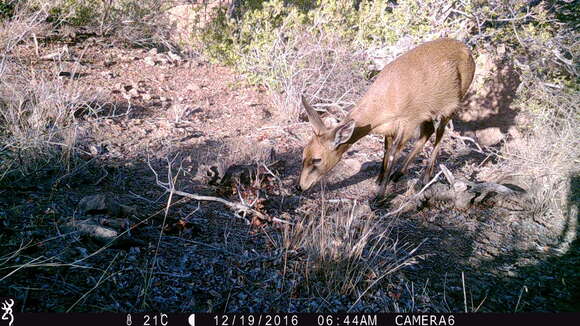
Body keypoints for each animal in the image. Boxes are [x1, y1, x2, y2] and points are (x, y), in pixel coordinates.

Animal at [300, 38, 476, 196]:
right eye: (303, 154)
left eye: (317, 159)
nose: (300, 186)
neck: (387, 97)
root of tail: (468, 51)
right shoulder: (391, 128)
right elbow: (386, 151)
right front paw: (378, 180)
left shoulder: (408, 122)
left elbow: (392, 154)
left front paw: (379, 196)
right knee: (427, 133)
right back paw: (398, 175)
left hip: (451, 106)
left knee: (439, 134)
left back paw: (425, 179)